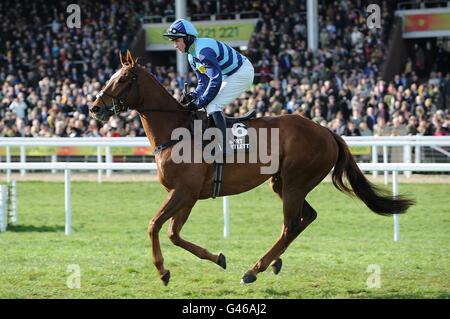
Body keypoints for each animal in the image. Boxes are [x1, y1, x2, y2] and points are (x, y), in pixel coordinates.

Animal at [90, 51, 414, 286]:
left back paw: (254, 269)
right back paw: (273, 262)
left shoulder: (183, 191)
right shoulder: (188, 195)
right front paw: (218, 257)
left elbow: (154, 225)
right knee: (306, 218)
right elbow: (173, 233)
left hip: (295, 182)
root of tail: (326, 130)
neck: (175, 131)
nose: (95, 107)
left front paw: (162, 271)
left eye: (122, 79)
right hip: (282, 183)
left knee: (290, 225)